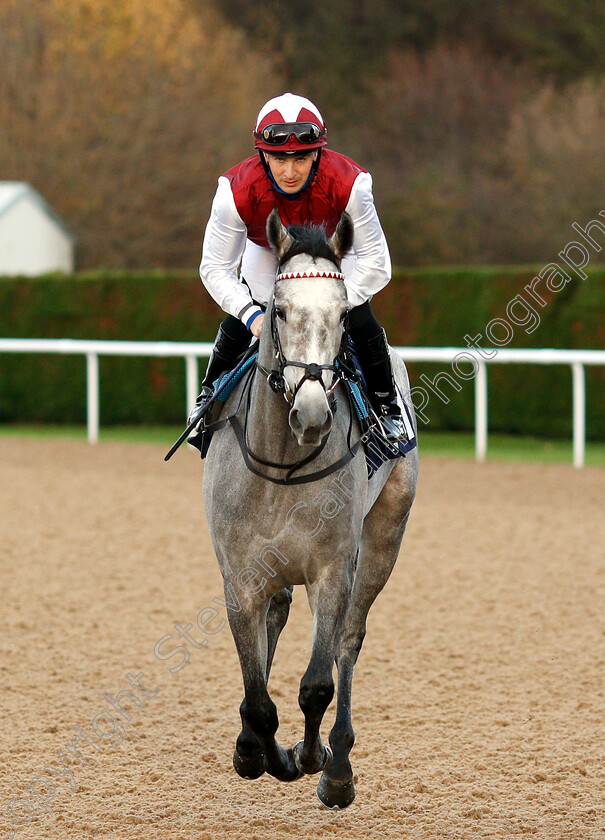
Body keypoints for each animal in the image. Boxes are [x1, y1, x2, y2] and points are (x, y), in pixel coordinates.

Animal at [201, 208, 418, 808]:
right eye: (278, 309)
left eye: (343, 314)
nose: (314, 413)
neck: (281, 466)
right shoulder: (240, 575)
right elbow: (257, 694)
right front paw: (256, 751)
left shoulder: (331, 569)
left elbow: (317, 684)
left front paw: (314, 758)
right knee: (274, 622)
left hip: (385, 538)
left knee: (349, 641)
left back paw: (336, 760)